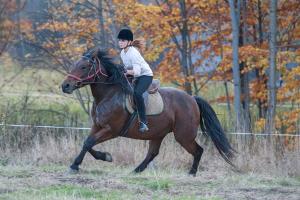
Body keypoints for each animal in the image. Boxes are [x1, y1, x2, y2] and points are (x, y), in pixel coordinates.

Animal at [60, 48, 234, 175]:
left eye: (84, 67)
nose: (65, 86)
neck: (108, 94)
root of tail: (192, 99)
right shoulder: (97, 126)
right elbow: (87, 143)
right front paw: (82, 162)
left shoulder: (111, 130)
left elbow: (89, 142)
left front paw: (96, 160)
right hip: (158, 133)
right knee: (153, 153)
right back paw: (136, 171)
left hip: (183, 136)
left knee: (198, 150)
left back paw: (191, 173)